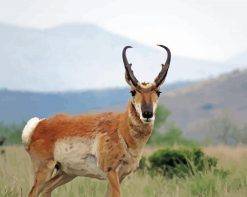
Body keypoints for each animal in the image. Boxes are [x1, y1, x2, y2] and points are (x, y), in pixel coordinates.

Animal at [22, 45, 171, 197]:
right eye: (133, 91)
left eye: (158, 92)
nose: (147, 114)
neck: (121, 129)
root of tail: (39, 124)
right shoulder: (111, 172)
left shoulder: (121, 175)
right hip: (44, 170)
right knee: (33, 192)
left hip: (66, 173)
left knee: (47, 189)